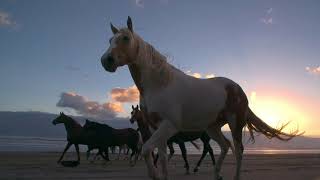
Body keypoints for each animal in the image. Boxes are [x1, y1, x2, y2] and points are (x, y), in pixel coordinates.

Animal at [100, 16, 302, 179]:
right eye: (110, 40)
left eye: (125, 38)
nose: (106, 61)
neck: (159, 85)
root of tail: (238, 89)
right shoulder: (159, 130)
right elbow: (162, 159)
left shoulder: (169, 126)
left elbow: (146, 150)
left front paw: (154, 174)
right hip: (212, 128)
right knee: (225, 146)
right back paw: (217, 175)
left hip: (235, 123)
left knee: (238, 150)